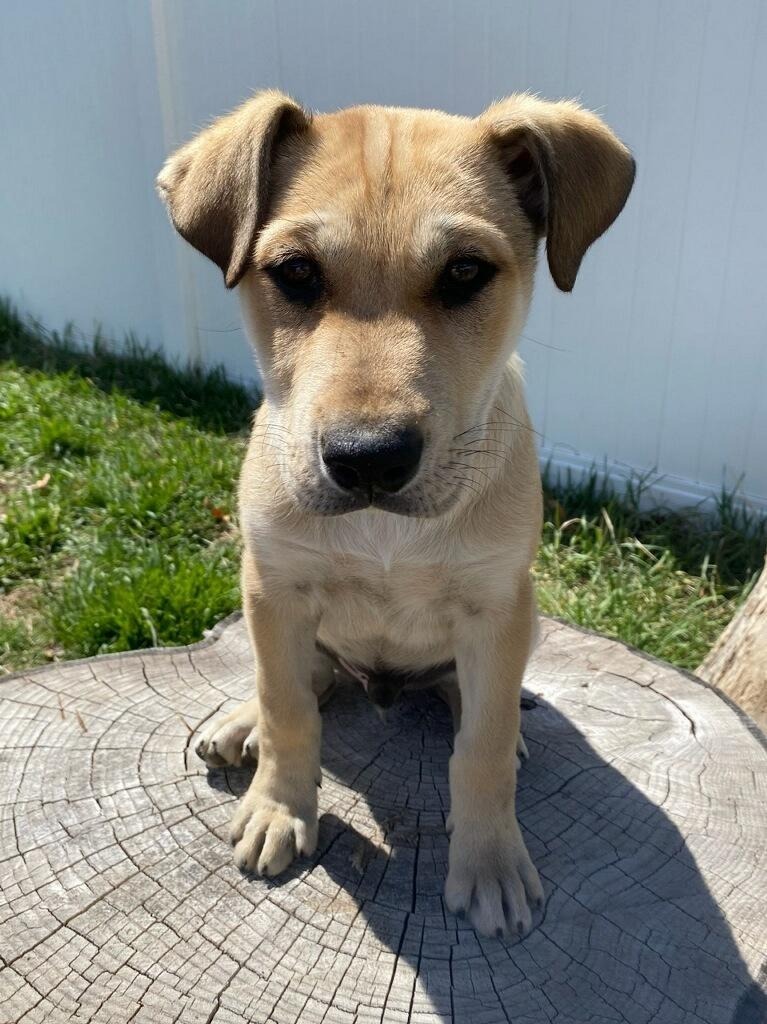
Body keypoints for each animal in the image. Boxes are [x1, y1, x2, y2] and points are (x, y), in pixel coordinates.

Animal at [156, 92, 634, 937]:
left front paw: (489, 863)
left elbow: (480, 749)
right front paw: (279, 807)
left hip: (515, 626)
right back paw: (240, 723)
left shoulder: (494, 606)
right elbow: (288, 708)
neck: (384, 530)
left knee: (476, 703)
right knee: (303, 677)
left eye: (466, 272)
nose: (368, 460)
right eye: (295, 272)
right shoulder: (273, 586)